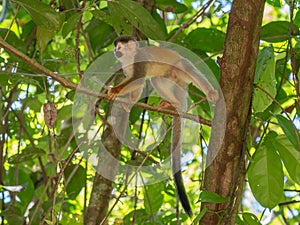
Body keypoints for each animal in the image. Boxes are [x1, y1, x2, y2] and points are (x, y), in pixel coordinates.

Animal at [107, 35, 218, 216]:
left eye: (119, 48)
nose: (115, 52)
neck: (130, 57)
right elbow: (138, 82)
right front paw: (129, 103)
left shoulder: (139, 59)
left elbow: (137, 78)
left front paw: (116, 91)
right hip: (174, 80)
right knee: (156, 79)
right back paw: (173, 106)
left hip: (180, 71)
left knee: (185, 66)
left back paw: (209, 93)